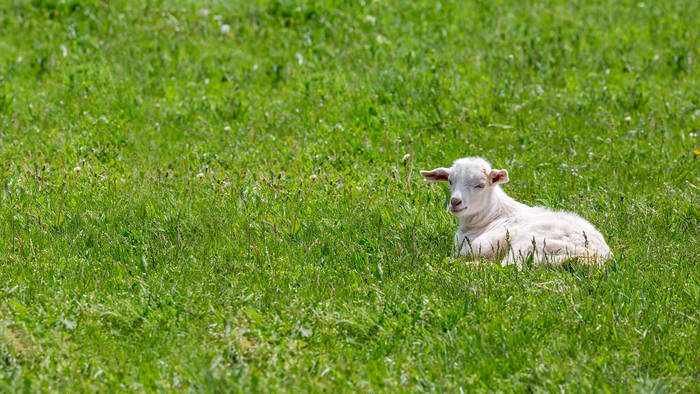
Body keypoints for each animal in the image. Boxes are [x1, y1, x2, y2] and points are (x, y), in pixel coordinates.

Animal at [422, 156, 612, 264]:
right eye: (450, 181)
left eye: (480, 185)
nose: (455, 202)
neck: (491, 216)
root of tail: (593, 256)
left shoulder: (483, 244)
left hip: (529, 244)